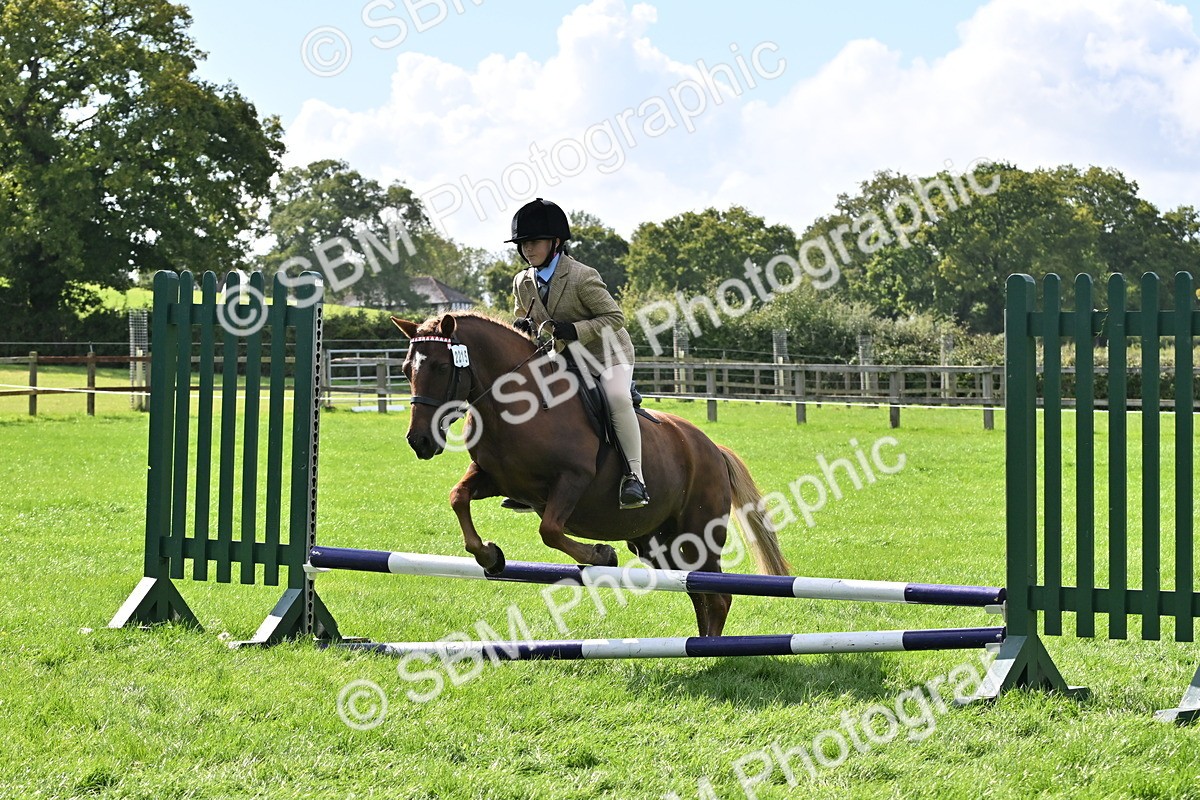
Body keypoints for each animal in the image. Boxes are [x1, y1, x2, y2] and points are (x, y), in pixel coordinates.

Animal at [390, 312, 791, 637]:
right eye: (406, 369)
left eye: (441, 368)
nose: (419, 441)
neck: (518, 406)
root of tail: (713, 449)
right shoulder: (492, 477)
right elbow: (458, 498)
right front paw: (489, 556)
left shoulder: (573, 479)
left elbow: (550, 530)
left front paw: (601, 555)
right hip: (658, 543)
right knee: (699, 592)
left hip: (698, 534)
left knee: (717, 595)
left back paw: (712, 650)